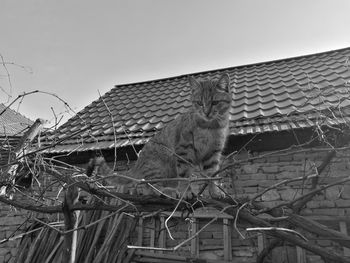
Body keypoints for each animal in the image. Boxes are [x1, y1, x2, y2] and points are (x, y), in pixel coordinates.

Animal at [86, 73, 231, 199]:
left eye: (215, 102)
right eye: (199, 103)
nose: (206, 112)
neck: (210, 127)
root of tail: (138, 162)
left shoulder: (212, 154)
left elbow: (212, 176)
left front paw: (215, 192)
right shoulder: (184, 150)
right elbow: (184, 176)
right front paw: (186, 192)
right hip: (160, 164)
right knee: (150, 186)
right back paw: (169, 191)